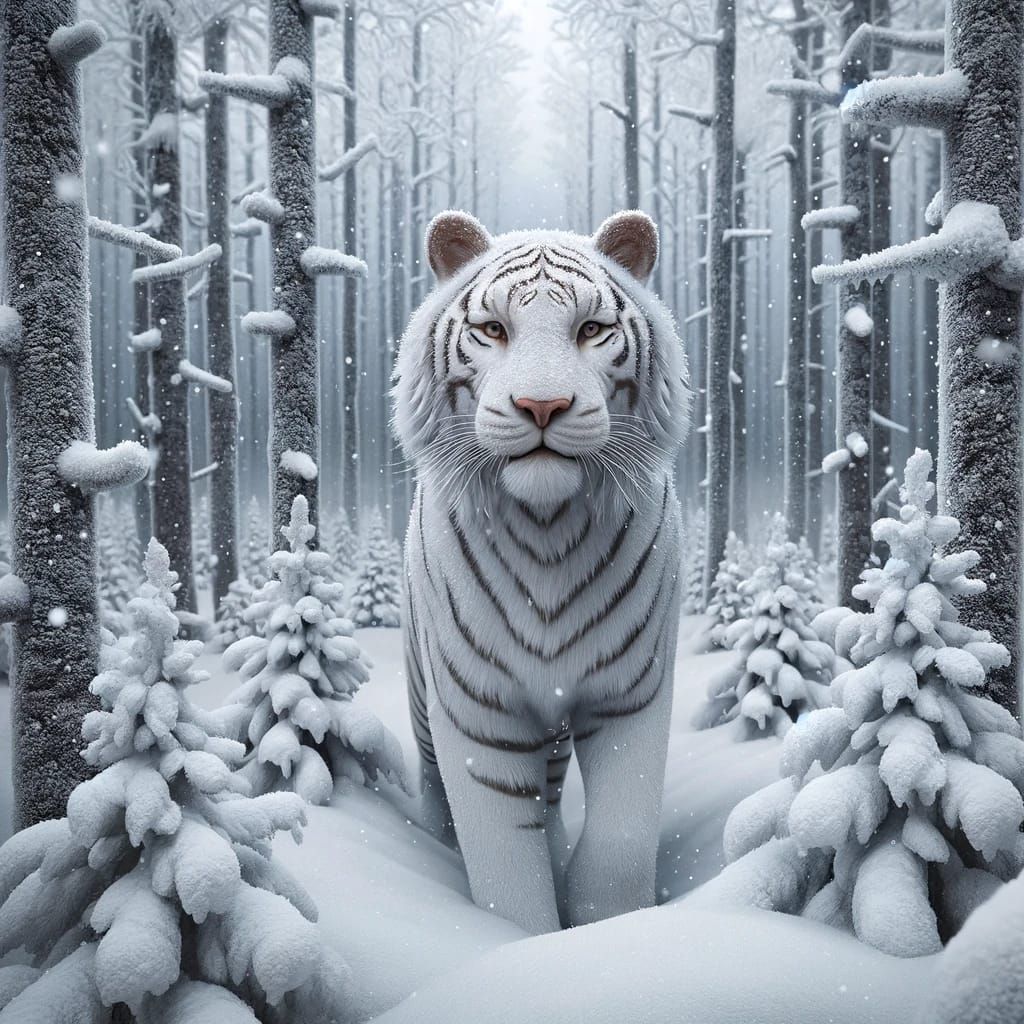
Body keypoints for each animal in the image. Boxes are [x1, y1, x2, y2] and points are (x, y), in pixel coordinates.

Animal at [393, 209, 690, 934]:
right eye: (494, 329)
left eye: (590, 329)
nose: (542, 406)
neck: (547, 526)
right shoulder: (480, 717)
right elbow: (505, 866)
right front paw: (521, 940)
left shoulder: (630, 694)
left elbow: (618, 845)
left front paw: (603, 928)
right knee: (436, 786)